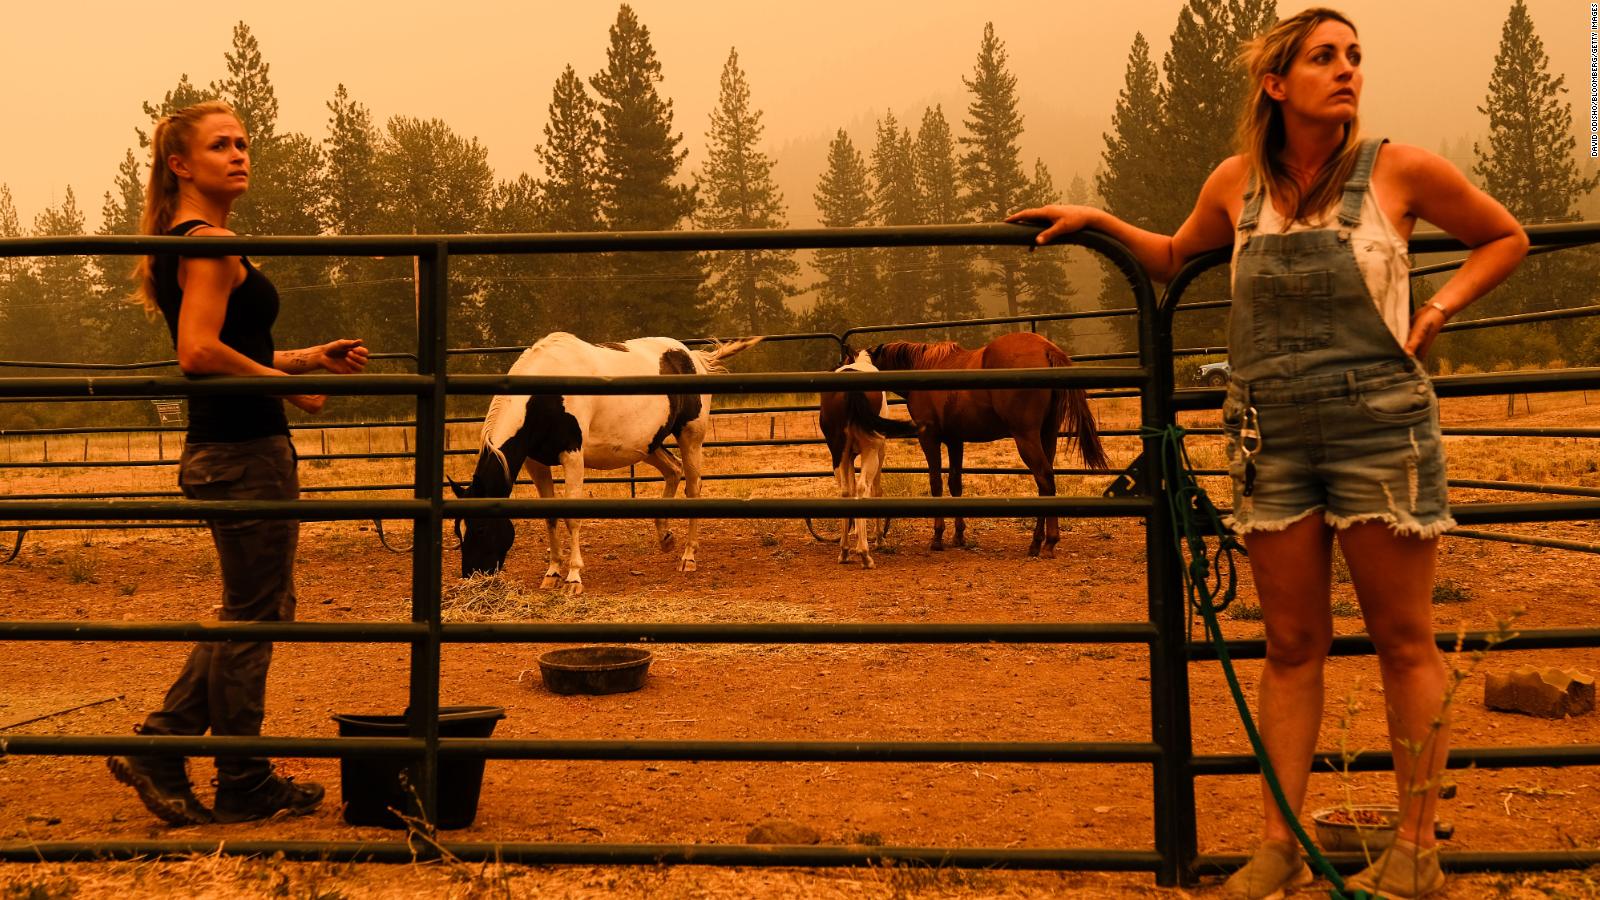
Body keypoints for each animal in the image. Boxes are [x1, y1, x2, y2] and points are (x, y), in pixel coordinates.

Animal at [454, 329, 764, 589]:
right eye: (459, 530)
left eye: (480, 527)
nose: (472, 575)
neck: (545, 394)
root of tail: (692, 358)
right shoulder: (536, 462)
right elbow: (550, 516)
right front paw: (552, 573)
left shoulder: (572, 456)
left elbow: (571, 518)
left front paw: (573, 578)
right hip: (649, 446)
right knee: (673, 471)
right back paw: (665, 537)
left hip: (691, 437)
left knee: (693, 488)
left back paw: (688, 557)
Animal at [870, 329, 1107, 554]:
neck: (922, 368)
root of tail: (1046, 348)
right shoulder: (955, 440)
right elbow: (955, 484)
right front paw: (959, 536)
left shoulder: (929, 438)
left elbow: (936, 484)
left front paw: (937, 538)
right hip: (1047, 436)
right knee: (1045, 484)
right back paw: (1039, 542)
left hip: (1026, 437)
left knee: (1045, 478)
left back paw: (1045, 542)